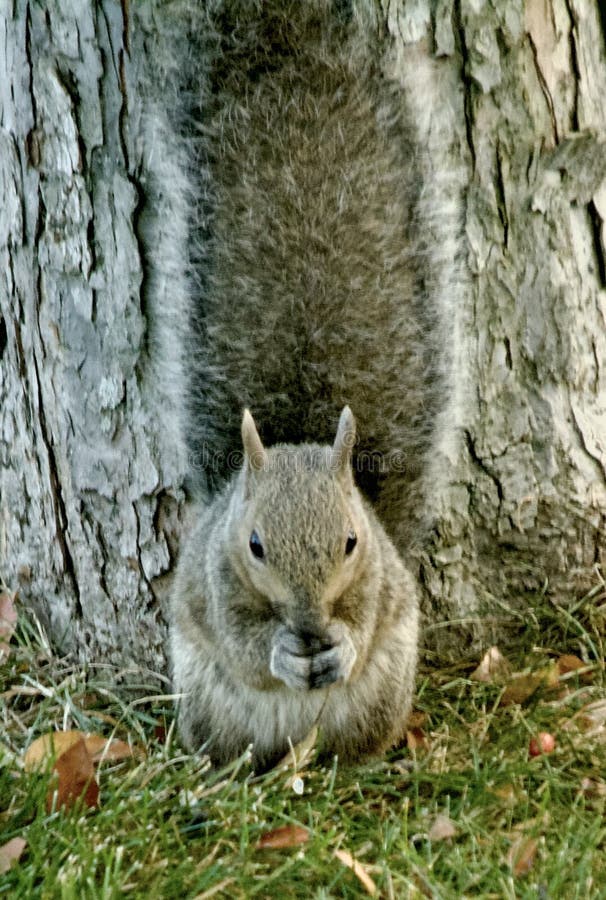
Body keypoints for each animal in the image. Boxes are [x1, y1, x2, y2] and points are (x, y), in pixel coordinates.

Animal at [139, 0, 458, 767]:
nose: (311, 627)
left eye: (350, 542)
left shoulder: (376, 581)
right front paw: (284, 653)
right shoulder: (216, 584)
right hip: (206, 698)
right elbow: (243, 641)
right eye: (254, 544)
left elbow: (363, 622)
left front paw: (337, 644)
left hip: (384, 690)